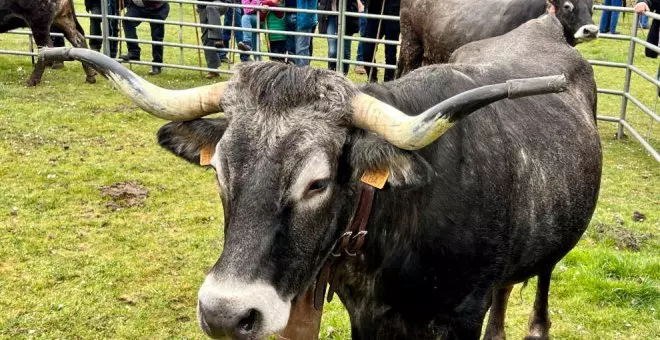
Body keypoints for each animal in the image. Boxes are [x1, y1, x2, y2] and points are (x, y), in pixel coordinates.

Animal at [38, 12, 600, 340]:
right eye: (218, 169)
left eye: (318, 183)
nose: (225, 316)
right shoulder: (365, 315)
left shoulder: (461, 313)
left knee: (541, 282)